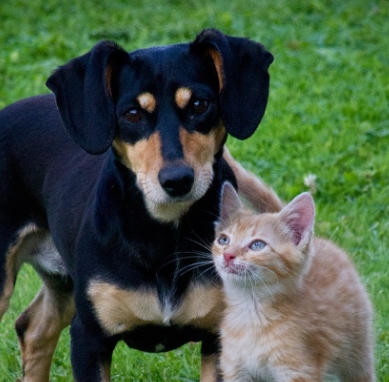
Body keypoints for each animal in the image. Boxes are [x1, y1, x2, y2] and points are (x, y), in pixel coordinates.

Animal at [0, 29, 272, 382]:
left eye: (200, 104)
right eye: (132, 113)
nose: (177, 180)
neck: (164, 237)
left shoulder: (220, 339)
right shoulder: (89, 338)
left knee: (33, 329)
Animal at [212, 182, 372, 382]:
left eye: (257, 245)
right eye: (223, 240)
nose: (227, 254)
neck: (250, 312)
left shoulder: (297, 370)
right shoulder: (235, 369)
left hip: (357, 352)